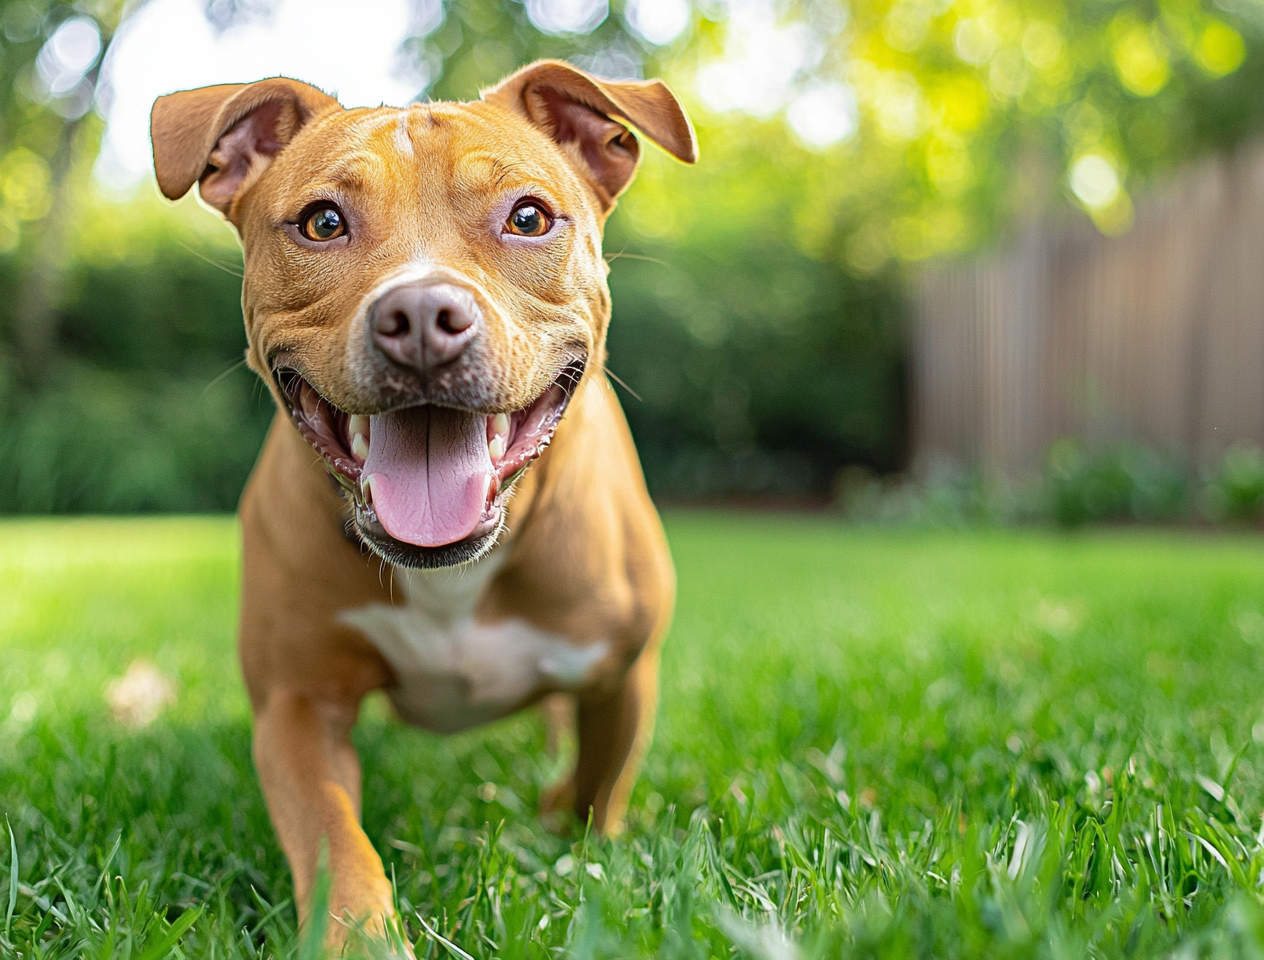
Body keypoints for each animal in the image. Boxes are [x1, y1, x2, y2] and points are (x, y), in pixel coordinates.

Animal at [151, 63, 697, 951]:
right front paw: (361, 937)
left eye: (528, 217)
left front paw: (574, 845)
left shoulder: (621, 671)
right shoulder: (297, 703)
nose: (419, 320)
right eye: (322, 221)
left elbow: (596, 784)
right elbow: (331, 830)